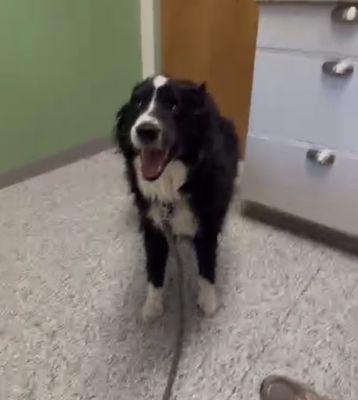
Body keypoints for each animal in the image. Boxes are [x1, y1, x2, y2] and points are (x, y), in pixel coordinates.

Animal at [116, 74, 239, 318]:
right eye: (138, 103)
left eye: (173, 105)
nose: (146, 130)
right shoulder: (153, 224)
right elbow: (154, 267)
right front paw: (152, 305)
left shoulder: (207, 223)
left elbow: (207, 263)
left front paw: (207, 300)